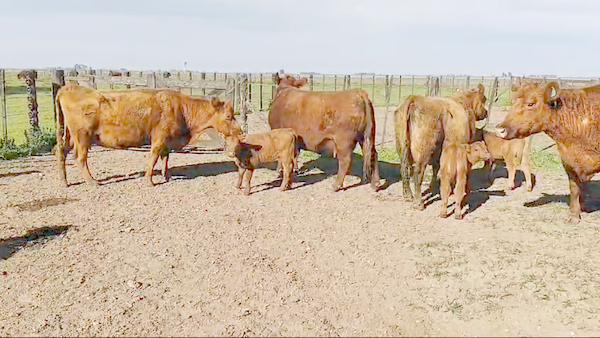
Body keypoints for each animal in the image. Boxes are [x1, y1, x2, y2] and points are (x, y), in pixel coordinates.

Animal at [54, 83, 241, 186]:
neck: (181, 108)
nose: (240, 130)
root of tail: (68, 87)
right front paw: (149, 180)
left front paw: (166, 176)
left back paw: (64, 181)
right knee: (80, 158)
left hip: (70, 136)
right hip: (82, 137)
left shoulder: (167, 141)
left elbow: (165, 158)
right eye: (228, 116)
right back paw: (92, 182)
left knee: (61, 151)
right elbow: (154, 157)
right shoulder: (159, 138)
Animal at [496, 80, 600, 223]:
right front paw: (574, 216)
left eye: (531, 103)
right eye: (512, 102)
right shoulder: (568, 163)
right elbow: (574, 189)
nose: (500, 130)